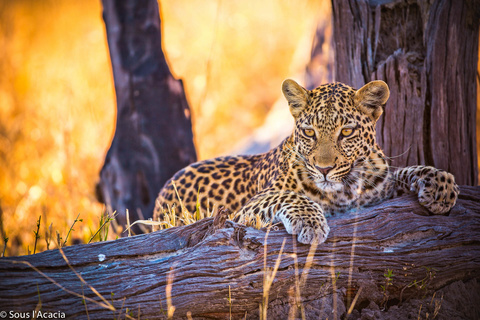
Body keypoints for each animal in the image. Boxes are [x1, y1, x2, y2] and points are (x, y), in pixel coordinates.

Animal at [153, 79, 458, 244]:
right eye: (310, 132)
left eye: (346, 132)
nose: (324, 169)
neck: (346, 189)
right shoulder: (244, 211)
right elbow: (288, 195)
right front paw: (311, 223)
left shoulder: (380, 190)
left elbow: (401, 171)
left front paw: (440, 185)